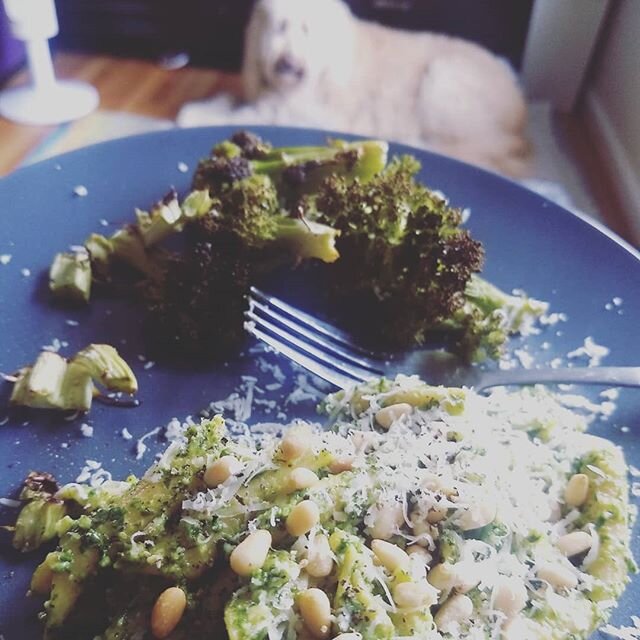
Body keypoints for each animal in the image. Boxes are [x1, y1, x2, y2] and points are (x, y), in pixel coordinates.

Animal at [179, 0, 528, 175]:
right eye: (280, 27)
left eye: (308, 30)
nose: (286, 64)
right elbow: (232, 101)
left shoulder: (304, 112)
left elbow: (246, 113)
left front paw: (193, 115)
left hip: (442, 81)